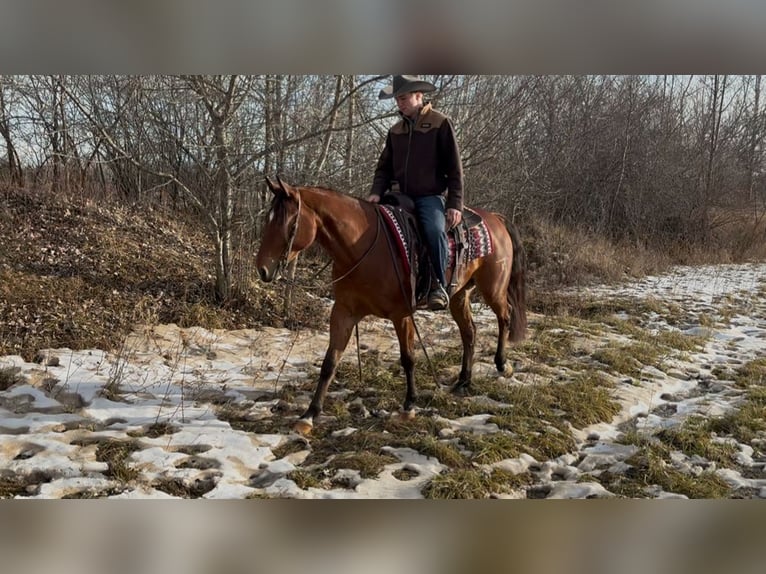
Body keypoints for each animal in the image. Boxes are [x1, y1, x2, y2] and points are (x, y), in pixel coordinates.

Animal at [255, 176, 527, 435]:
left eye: (290, 224)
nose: (263, 269)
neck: (361, 247)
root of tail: (495, 218)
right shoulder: (343, 313)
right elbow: (329, 362)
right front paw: (309, 415)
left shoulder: (402, 314)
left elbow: (408, 358)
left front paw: (409, 406)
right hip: (460, 295)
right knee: (469, 332)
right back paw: (463, 382)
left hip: (493, 289)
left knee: (505, 317)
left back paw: (503, 365)